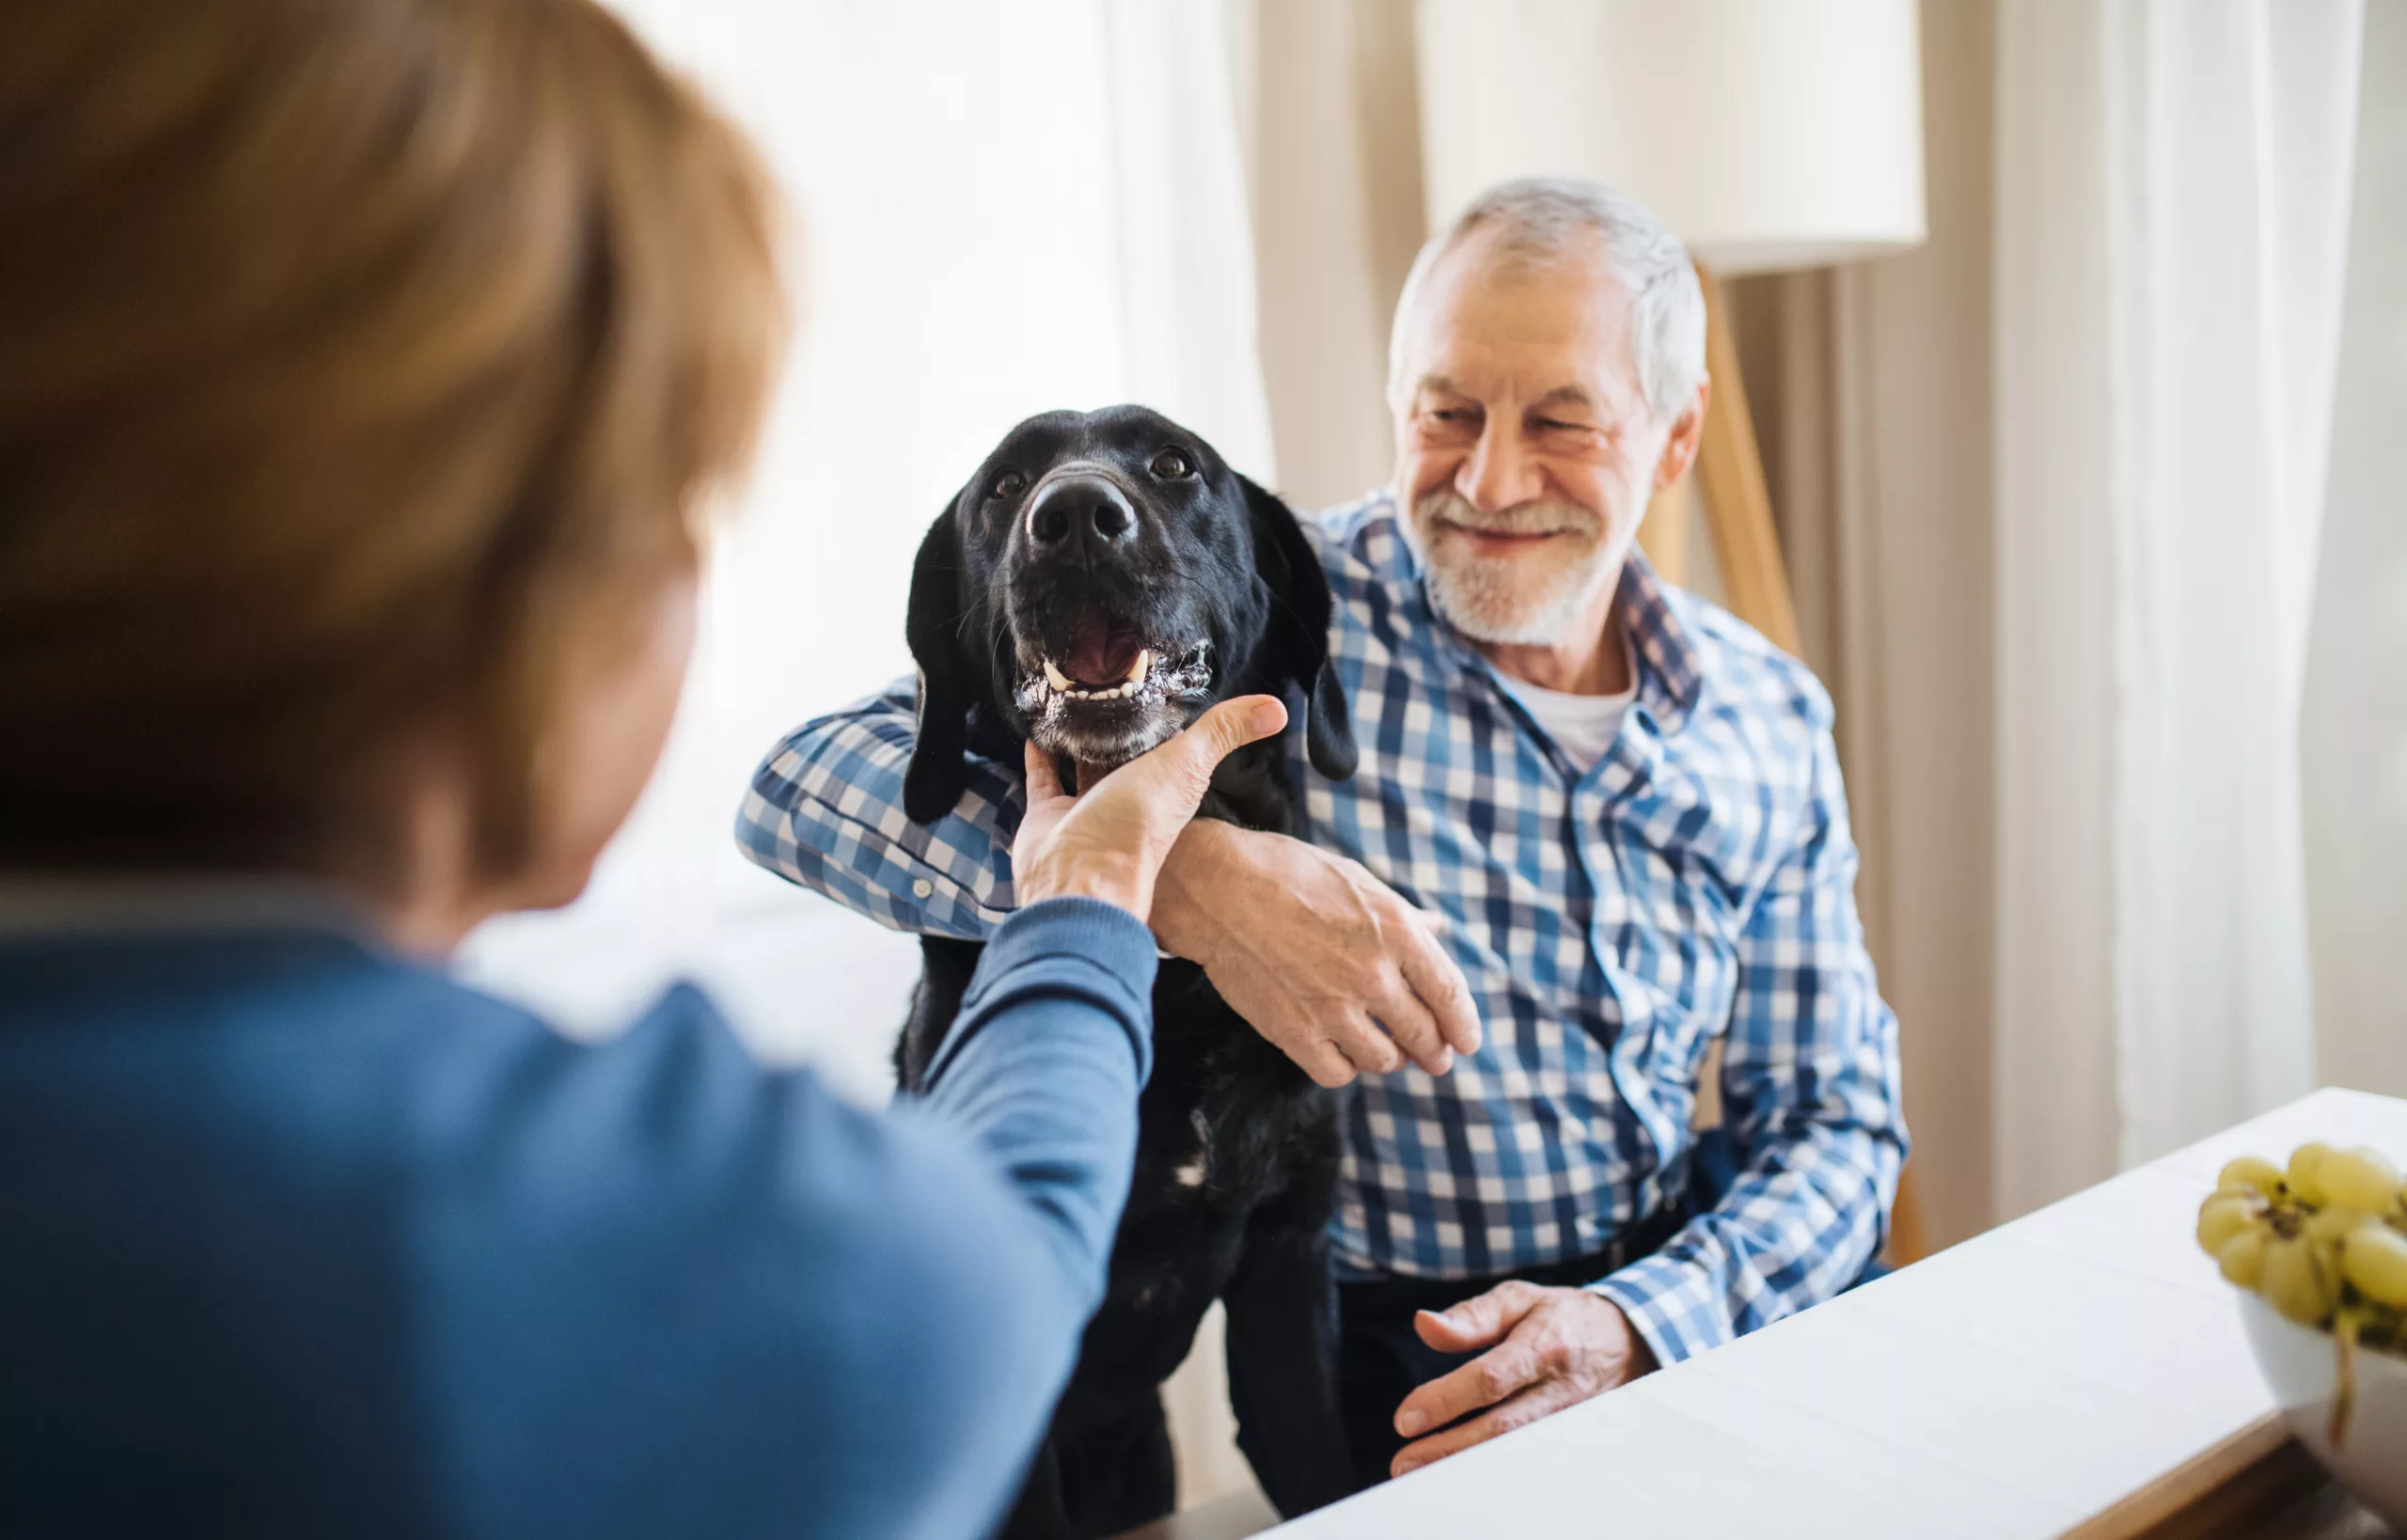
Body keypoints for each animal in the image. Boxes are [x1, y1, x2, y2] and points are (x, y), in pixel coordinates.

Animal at [900, 403, 1357, 1530]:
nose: (1070, 517)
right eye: (1003, 485)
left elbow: (1327, 1466)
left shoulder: (1289, 1262)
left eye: (1173, 463)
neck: (1170, 979)